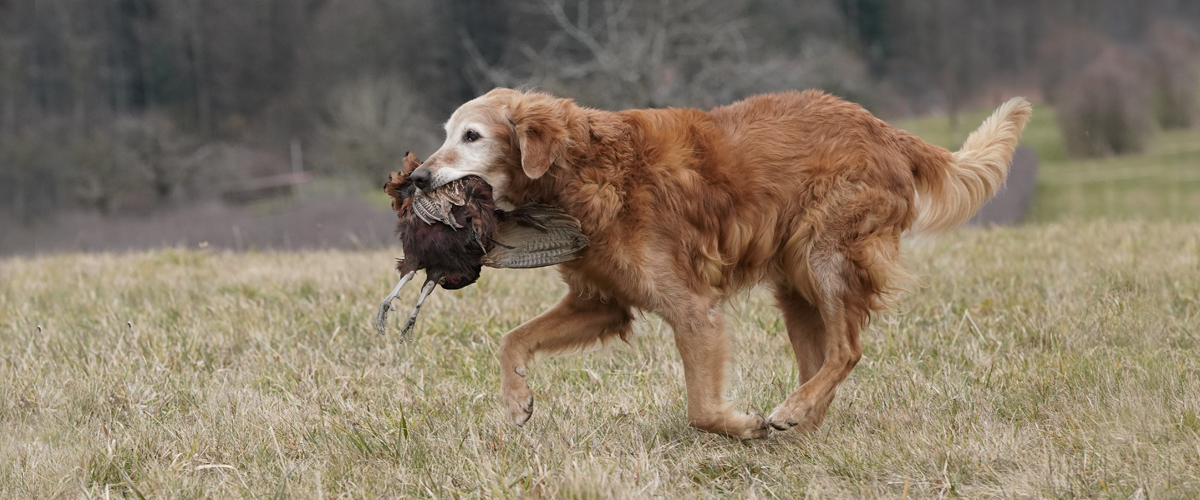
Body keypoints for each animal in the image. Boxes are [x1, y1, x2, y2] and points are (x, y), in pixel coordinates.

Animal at [408, 86, 1027, 436]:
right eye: (447, 134)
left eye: (472, 136)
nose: (415, 178)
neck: (585, 167)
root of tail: (887, 131)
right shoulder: (601, 303)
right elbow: (511, 340)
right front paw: (516, 405)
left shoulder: (693, 311)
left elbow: (700, 408)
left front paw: (739, 425)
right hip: (795, 288)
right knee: (822, 360)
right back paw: (801, 422)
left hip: (824, 257)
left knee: (847, 350)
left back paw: (789, 414)